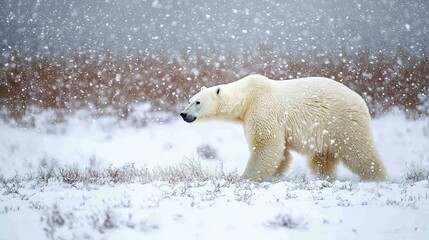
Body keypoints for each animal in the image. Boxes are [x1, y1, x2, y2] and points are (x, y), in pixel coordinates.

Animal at [179, 74, 386, 181]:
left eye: (197, 102)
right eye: (189, 100)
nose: (183, 114)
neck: (247, 97)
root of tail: (361, 100)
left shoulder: (262, 108)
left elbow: (266, 144)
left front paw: (246, 177)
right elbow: (282, 153)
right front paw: (275, 175)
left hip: (341, 121)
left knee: (358, 150)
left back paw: (377, 177)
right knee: (322, 158)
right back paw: (323, 177)